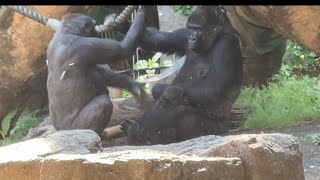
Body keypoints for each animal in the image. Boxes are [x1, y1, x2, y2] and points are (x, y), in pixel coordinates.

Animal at [46, 5, 149, 135]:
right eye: (93, 25)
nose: (96, 31)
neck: (66, 32)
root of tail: (59, 130)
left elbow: (103, 72)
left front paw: (133, 85)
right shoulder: (86, 46)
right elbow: (123, 49)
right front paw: (142, 10)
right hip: (77, 127)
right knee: (103, 102)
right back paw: (97, 133)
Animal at [122, 5, 242, 146]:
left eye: (198, 29)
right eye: (191, 28)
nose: (192, 38)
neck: (216, 37)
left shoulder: (226, 44)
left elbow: (213, 87)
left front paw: (163, 91)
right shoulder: (184, 34)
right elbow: (156, 39)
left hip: (212, 129)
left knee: (175, 101)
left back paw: (139, 134)